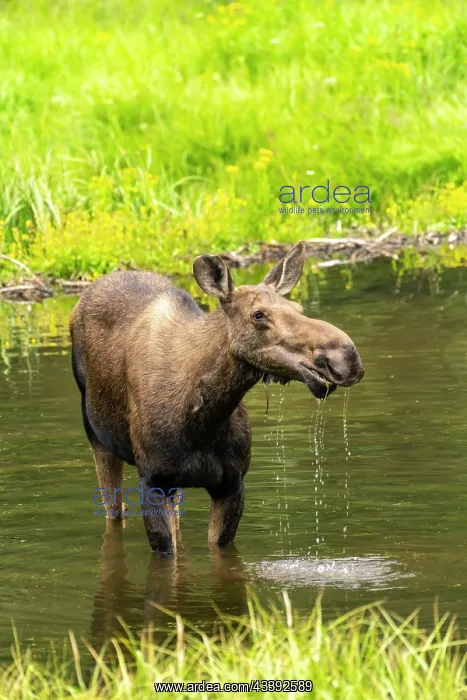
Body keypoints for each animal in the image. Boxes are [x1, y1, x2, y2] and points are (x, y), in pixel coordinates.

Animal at [70, 241, 364, 554]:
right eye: (258, 314)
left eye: (299, 309)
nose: (346, 357)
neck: (203, 418)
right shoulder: (153, 481)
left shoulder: (231, 484)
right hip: (97, 436)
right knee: (114, 511)